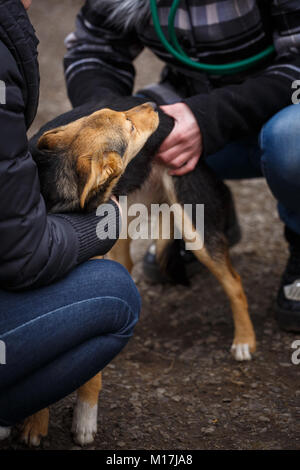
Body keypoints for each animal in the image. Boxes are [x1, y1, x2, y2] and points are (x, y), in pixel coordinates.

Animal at [19, 96, 255, 448]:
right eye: (128, 125)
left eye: (119, 115)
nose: (153, 105)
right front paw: (35, 419)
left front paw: (85, 418)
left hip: (194, 228)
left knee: (234, 282)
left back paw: (244, 340)